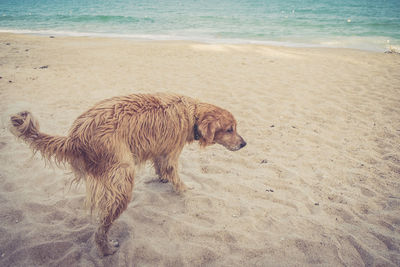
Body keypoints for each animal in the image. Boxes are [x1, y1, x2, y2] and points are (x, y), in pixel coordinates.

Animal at [9, 93, 245, 256]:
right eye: (230, 129)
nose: (244, 144)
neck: (191, 113)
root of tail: (75, 137)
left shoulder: (160, 150)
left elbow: (161, 168)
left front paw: (162, 179)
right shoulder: (171, 154)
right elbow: (175, 175)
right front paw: (185, 189)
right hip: (122, 182)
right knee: (101, 228)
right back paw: (106, 249)